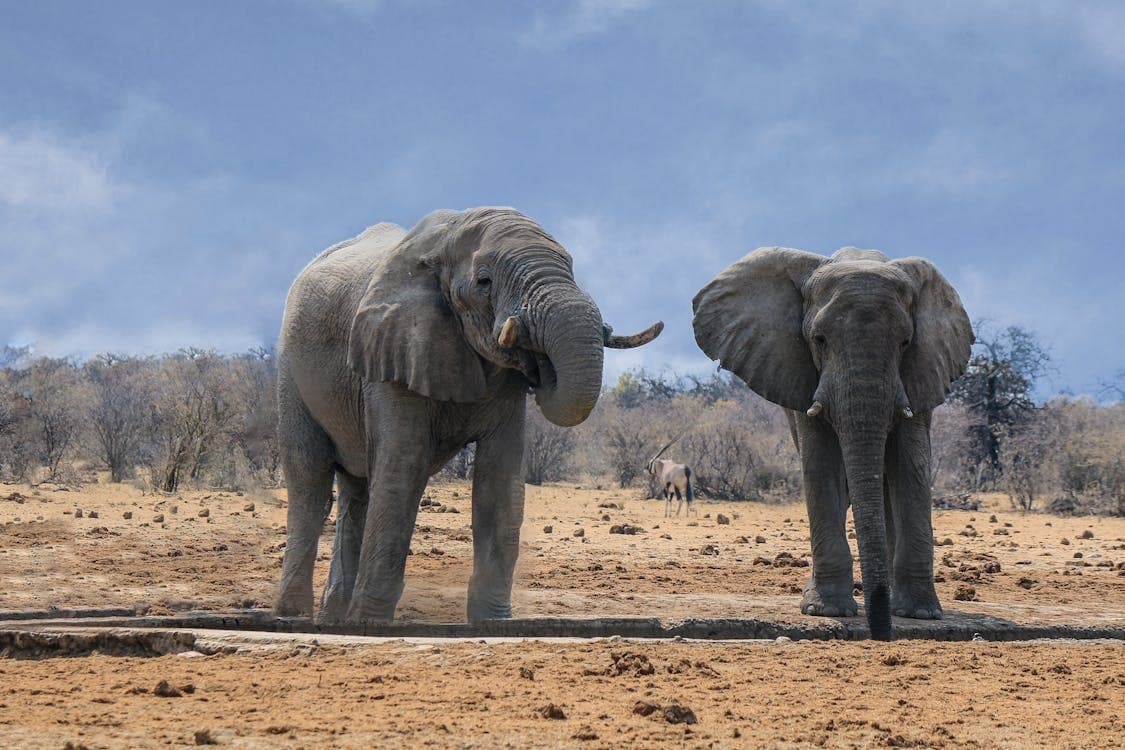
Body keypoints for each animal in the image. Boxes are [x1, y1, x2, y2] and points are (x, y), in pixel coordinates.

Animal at [688, 245, 972, 638]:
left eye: (905, 342)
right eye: (819, 340)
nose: (881, 636)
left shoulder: (921, 370)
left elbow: (911, 466)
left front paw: (921, 615)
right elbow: (822, 466)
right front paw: (826, 612)